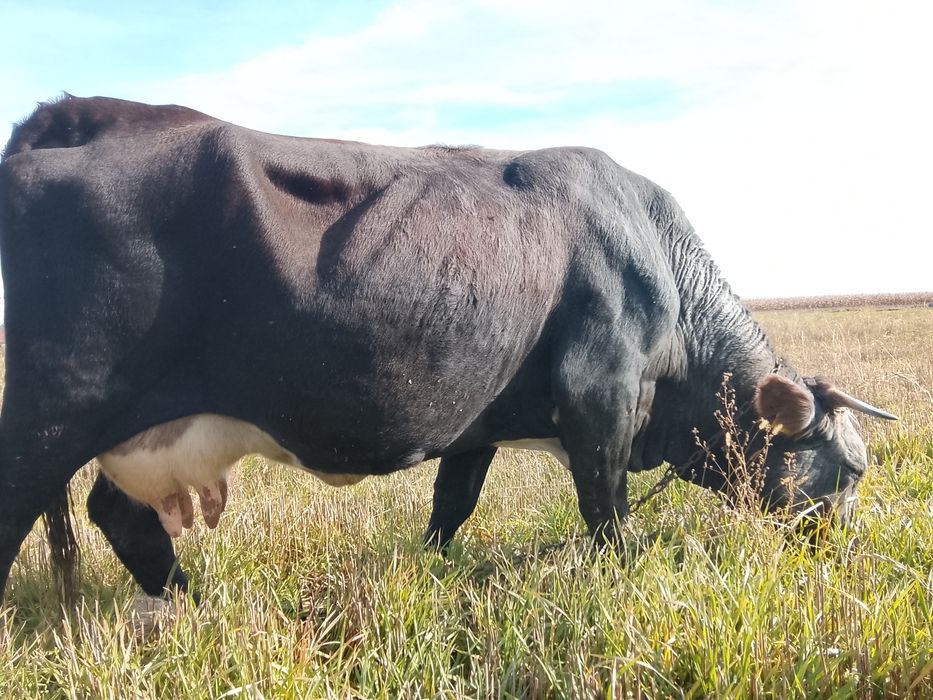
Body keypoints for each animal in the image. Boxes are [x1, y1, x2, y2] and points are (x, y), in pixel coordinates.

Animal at [0, 96, 896, 602]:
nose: (852, 552)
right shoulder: (600, 396)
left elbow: (451, 504)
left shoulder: (480, 418)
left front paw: (430, 568)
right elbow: (604, 510)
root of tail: (72, 112)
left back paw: (193, 604)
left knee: (118, 515)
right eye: (847, 469)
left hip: (142, 428)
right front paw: (622, 574)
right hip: (53, 413)